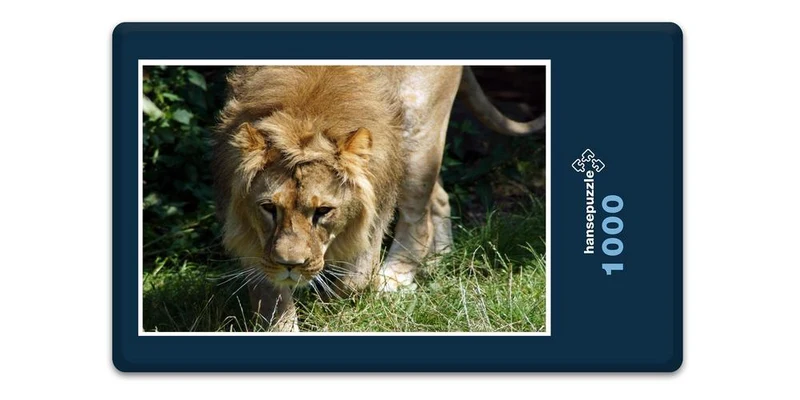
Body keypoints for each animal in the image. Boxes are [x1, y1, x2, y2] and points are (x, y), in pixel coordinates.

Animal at [212, 66, 544, 331]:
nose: (290, 265)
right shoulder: (253, 238)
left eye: (323, 211)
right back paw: (439, 259)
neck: (306, 115)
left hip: (417, 131)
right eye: (269, 208)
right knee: (439, 197)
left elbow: (353, 281)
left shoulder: (374, 210)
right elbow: (270, 300)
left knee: (418, 215)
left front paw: (330, 309)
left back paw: (395, 279)